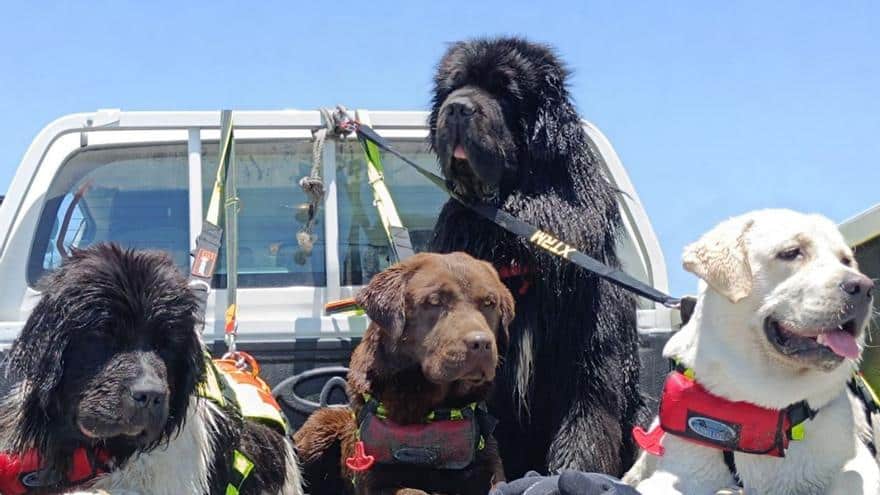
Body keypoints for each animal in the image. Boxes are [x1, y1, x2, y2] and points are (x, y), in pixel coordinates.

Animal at [298, 254, 512, 494]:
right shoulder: (374, 476)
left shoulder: (488, 462)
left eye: (490, 303)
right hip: (320, 427)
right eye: (434, 301)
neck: (434, 407)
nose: (481, 343)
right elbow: (411, 490)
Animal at [432, 36, 648, 478]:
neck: (512, 236)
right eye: (453, 86)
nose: (457, 108)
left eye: (504, 91)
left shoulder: (588, 359)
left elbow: (584, 427)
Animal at [624, 210, 880, 495]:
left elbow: (851, 477)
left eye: (846, 261)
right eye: (791, 252)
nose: (865, 287)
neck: (768, 398)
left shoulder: (855, 462)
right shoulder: (679, 472)